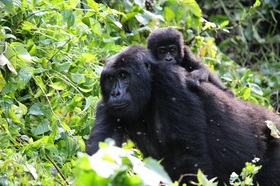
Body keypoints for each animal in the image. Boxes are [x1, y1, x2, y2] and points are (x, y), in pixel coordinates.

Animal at [86, 45, 280, 185]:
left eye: (124, 75)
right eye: (110, 79)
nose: (115, 93)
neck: (150, 84)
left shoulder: (170, 83)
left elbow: (188, 156)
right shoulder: (106, 105)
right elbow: (100, 154)